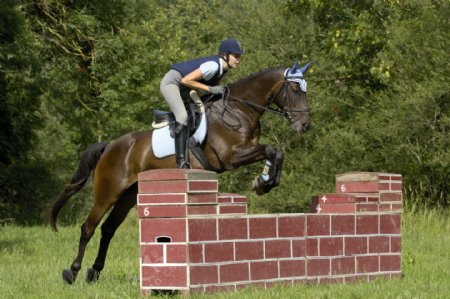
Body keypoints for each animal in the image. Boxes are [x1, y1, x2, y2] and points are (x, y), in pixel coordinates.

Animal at [50, 61, 310, 286]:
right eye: (295, 88)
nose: (305, 125)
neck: (239, 109)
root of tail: (110, 146)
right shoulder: (231, 156)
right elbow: (272, 150)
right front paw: (263, 182)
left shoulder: (247, 150)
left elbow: (275, 152)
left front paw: (265, 182)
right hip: (108, 193)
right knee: (88, 228)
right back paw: (72, 272)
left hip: (128, 196)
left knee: (108, 229)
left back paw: (94, 271)